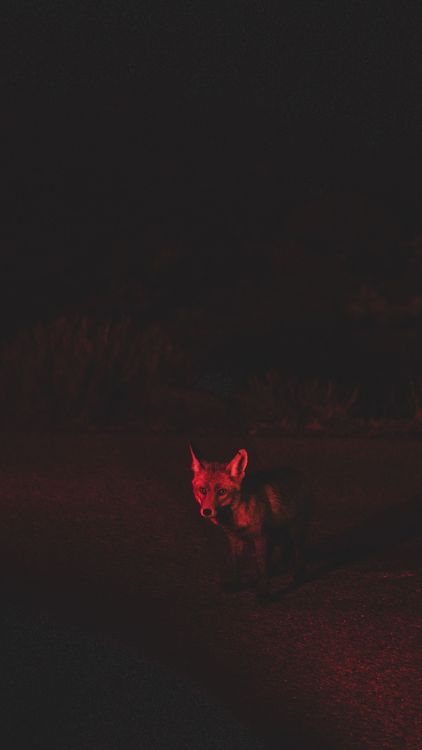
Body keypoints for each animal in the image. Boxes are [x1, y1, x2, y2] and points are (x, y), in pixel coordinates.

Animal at [190, 446, 310, 604]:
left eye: (221, 491)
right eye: (203, 490)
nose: (206, 511)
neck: (235, 518)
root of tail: (298, 472)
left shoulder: (260, 538)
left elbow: (262, 568)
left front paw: (263, 594)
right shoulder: (234, 538)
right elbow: (236, 565)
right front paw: (236, 585)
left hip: (295, 531)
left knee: (299, 552)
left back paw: (298, 575)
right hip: (277, 535)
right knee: (285, 548)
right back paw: (281, 567)